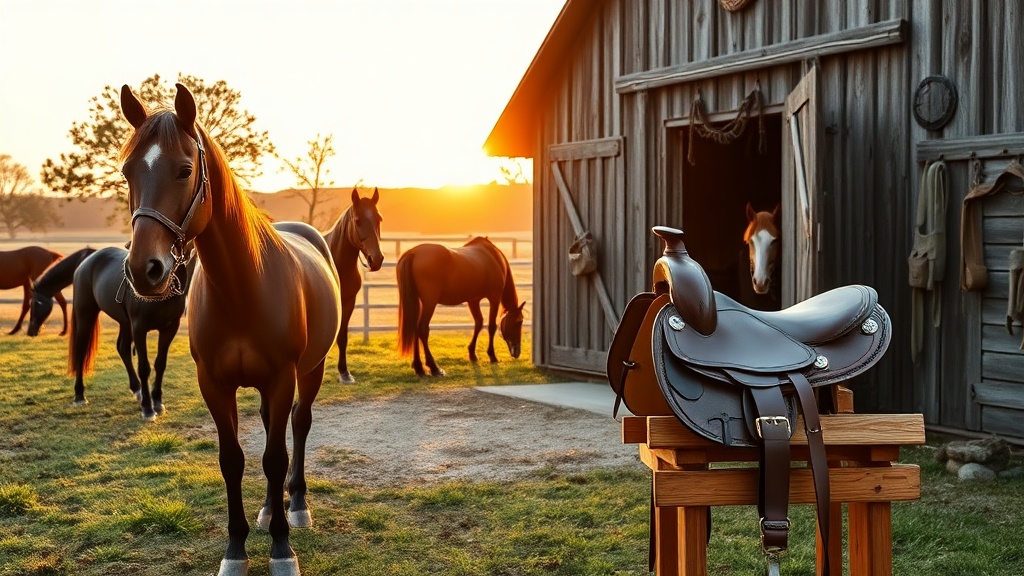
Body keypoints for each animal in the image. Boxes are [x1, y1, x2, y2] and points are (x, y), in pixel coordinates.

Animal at [64, 246, 195, 421]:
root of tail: (86, 262)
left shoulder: (169, 328)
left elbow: (160, 364)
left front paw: (157, 402)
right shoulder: (139, 328)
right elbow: (144, 367)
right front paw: (148, 409)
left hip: (125, 323)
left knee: (123, 348)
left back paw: (137, 389)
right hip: (86, 314)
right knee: (81, 351)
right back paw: (79, 395)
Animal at [119, 82, 341, 576]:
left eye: (185, 170)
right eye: (126, 172)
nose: (145, 270)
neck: (242, 285)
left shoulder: (282, 377)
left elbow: (275, 457)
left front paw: (282, 549)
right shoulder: (215, 384)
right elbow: (233, 459)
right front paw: (236, 550)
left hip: (310, 370)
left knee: (299, 425)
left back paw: (296, 507)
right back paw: (268, 509)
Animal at [322, 188, 384, 383]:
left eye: (379, 219)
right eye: (357, 220)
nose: (376, 259)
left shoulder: (349, 302)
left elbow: (342, 336)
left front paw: (344, 373)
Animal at [396, 236, 525, 377]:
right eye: (519, 322)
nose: (517, 352)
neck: (493, 256)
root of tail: (413, 253)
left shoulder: (473, 300)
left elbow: (478, 322)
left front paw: (472, 354)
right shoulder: (494, 298)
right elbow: (491, 326)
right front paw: (492, 356)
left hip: (418, 302)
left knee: (415, 328)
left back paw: (419, 367)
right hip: (430, 302)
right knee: (423, 329)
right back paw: (434, 368)